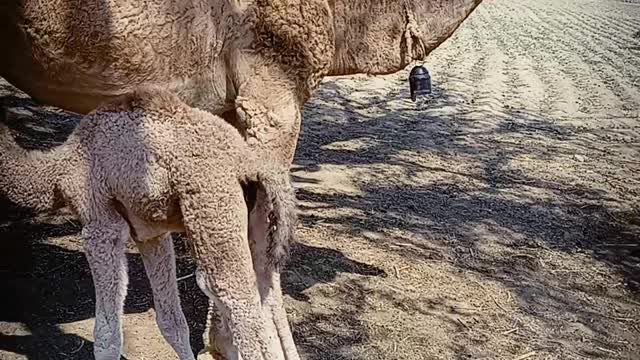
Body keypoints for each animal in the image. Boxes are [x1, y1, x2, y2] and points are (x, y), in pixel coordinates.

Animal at [0, 88, 300, 360]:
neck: (56, 174)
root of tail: (248, 163)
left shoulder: (99, 223)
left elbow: (107, 335)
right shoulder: (151, 234)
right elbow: (172, 322)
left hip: (214, 211)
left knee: (237, 301)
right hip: (258, 219)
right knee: (263, 291)